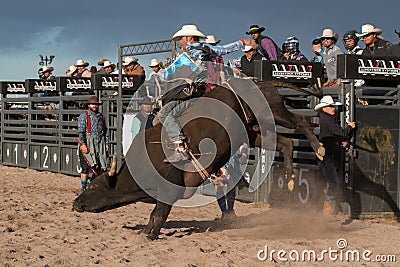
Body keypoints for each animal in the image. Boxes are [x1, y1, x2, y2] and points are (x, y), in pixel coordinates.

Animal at [73, 80, 324, 241]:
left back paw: (320, 149)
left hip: (271, 112)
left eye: (94, 186)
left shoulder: (168, 189)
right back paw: (290, 179)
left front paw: (149, 234)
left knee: (300, 121)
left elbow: (159, 213)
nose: (76, 203)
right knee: (286, 143)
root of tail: (258, 82)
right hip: (255, 132)